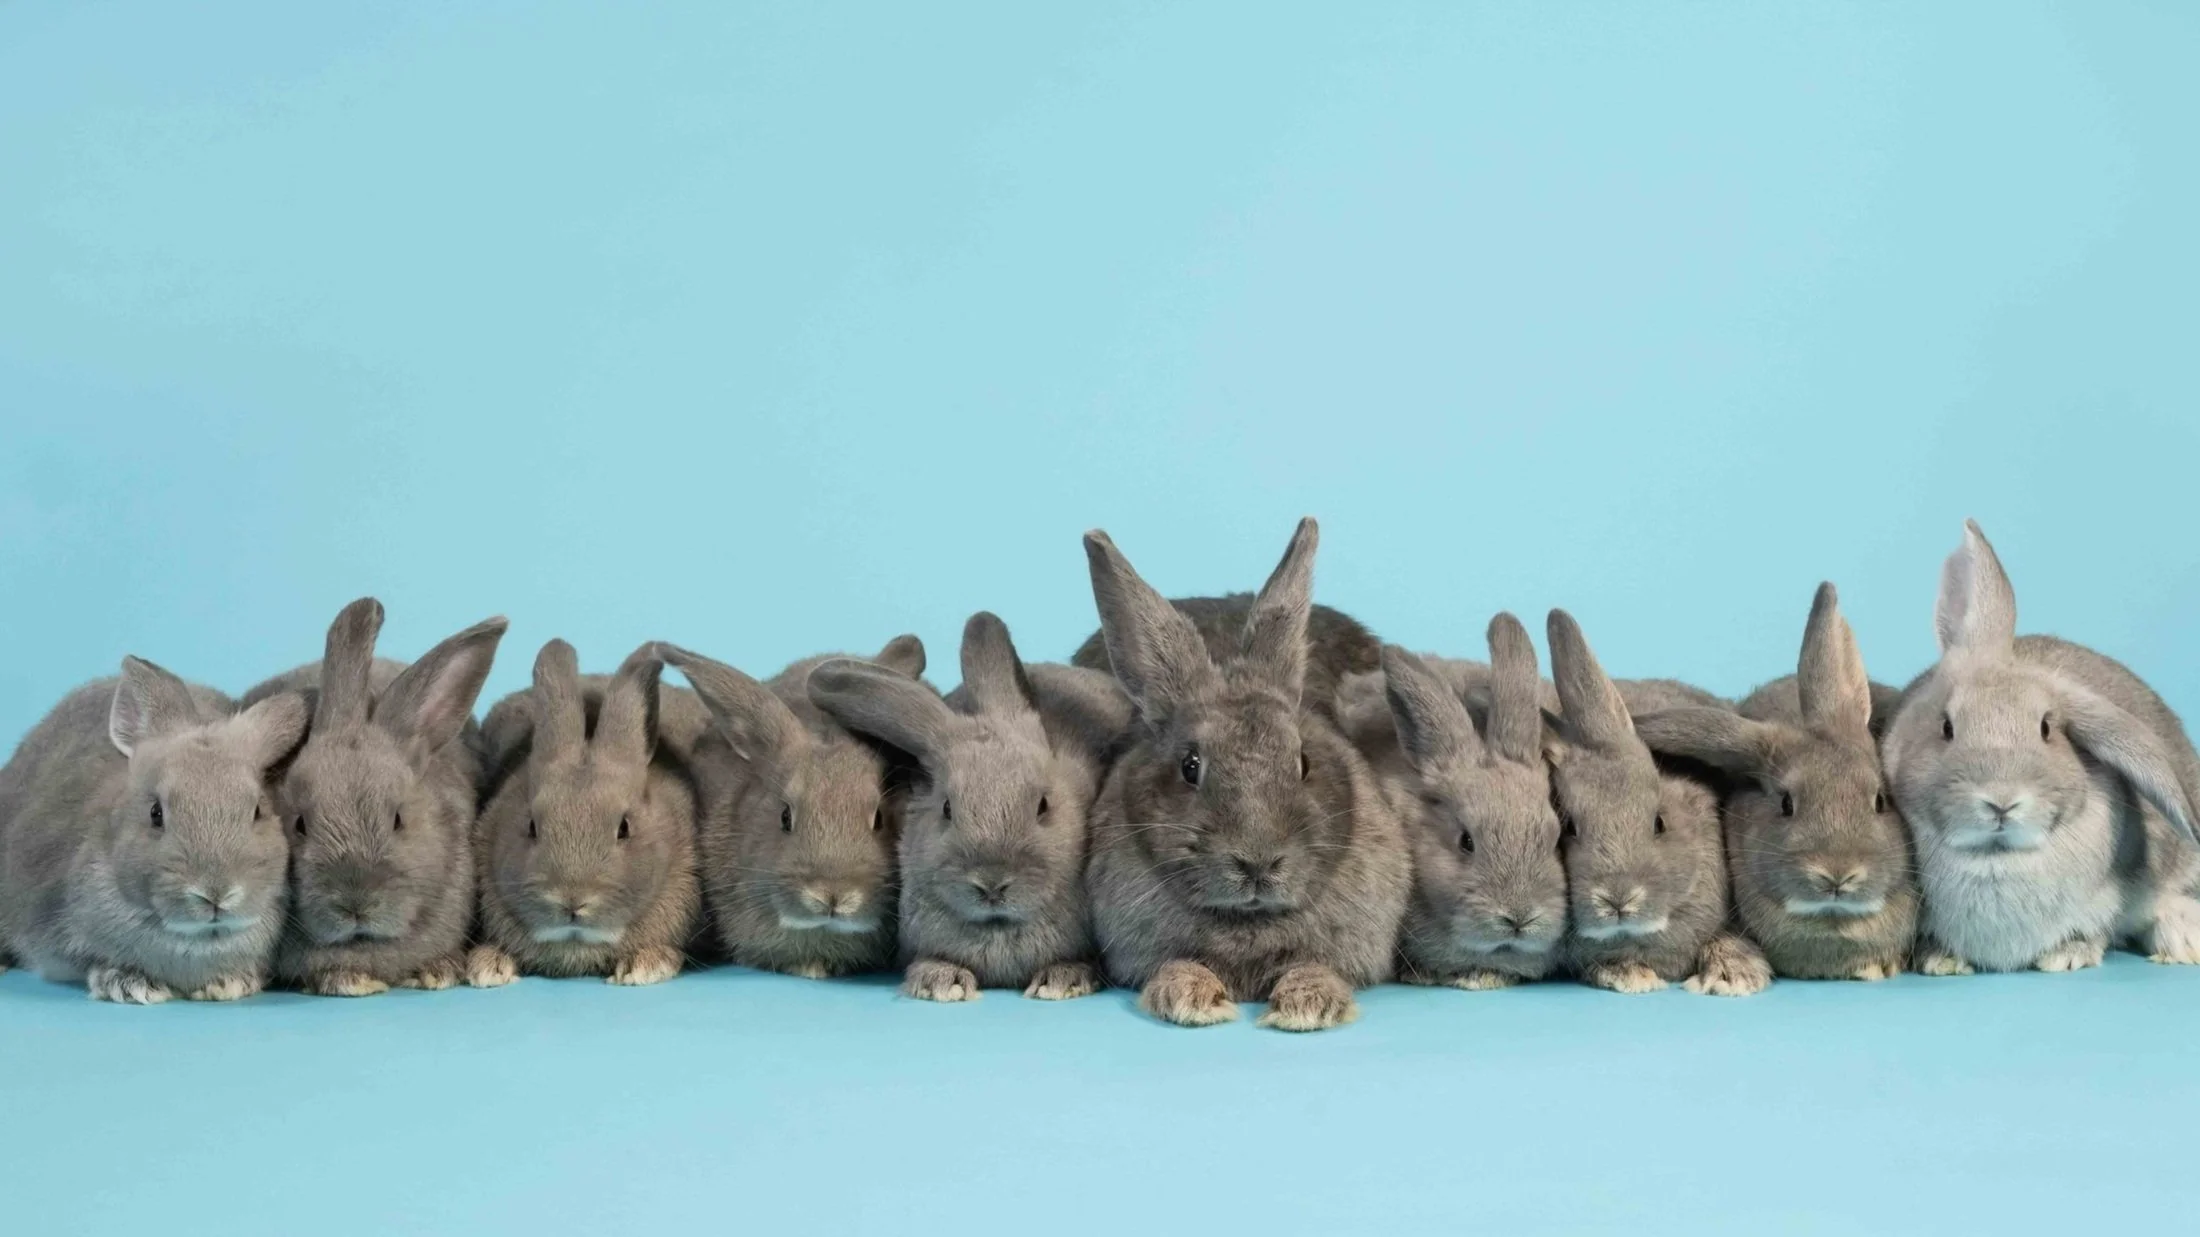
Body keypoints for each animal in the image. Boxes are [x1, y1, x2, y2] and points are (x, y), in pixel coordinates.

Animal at [1883, 520, 2200, 975]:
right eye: (1946, 727)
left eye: (2047, 728)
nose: (2001, 802)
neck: (1995, 857)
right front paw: (1940, 960)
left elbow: (2096, 929)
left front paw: (2068, 956)